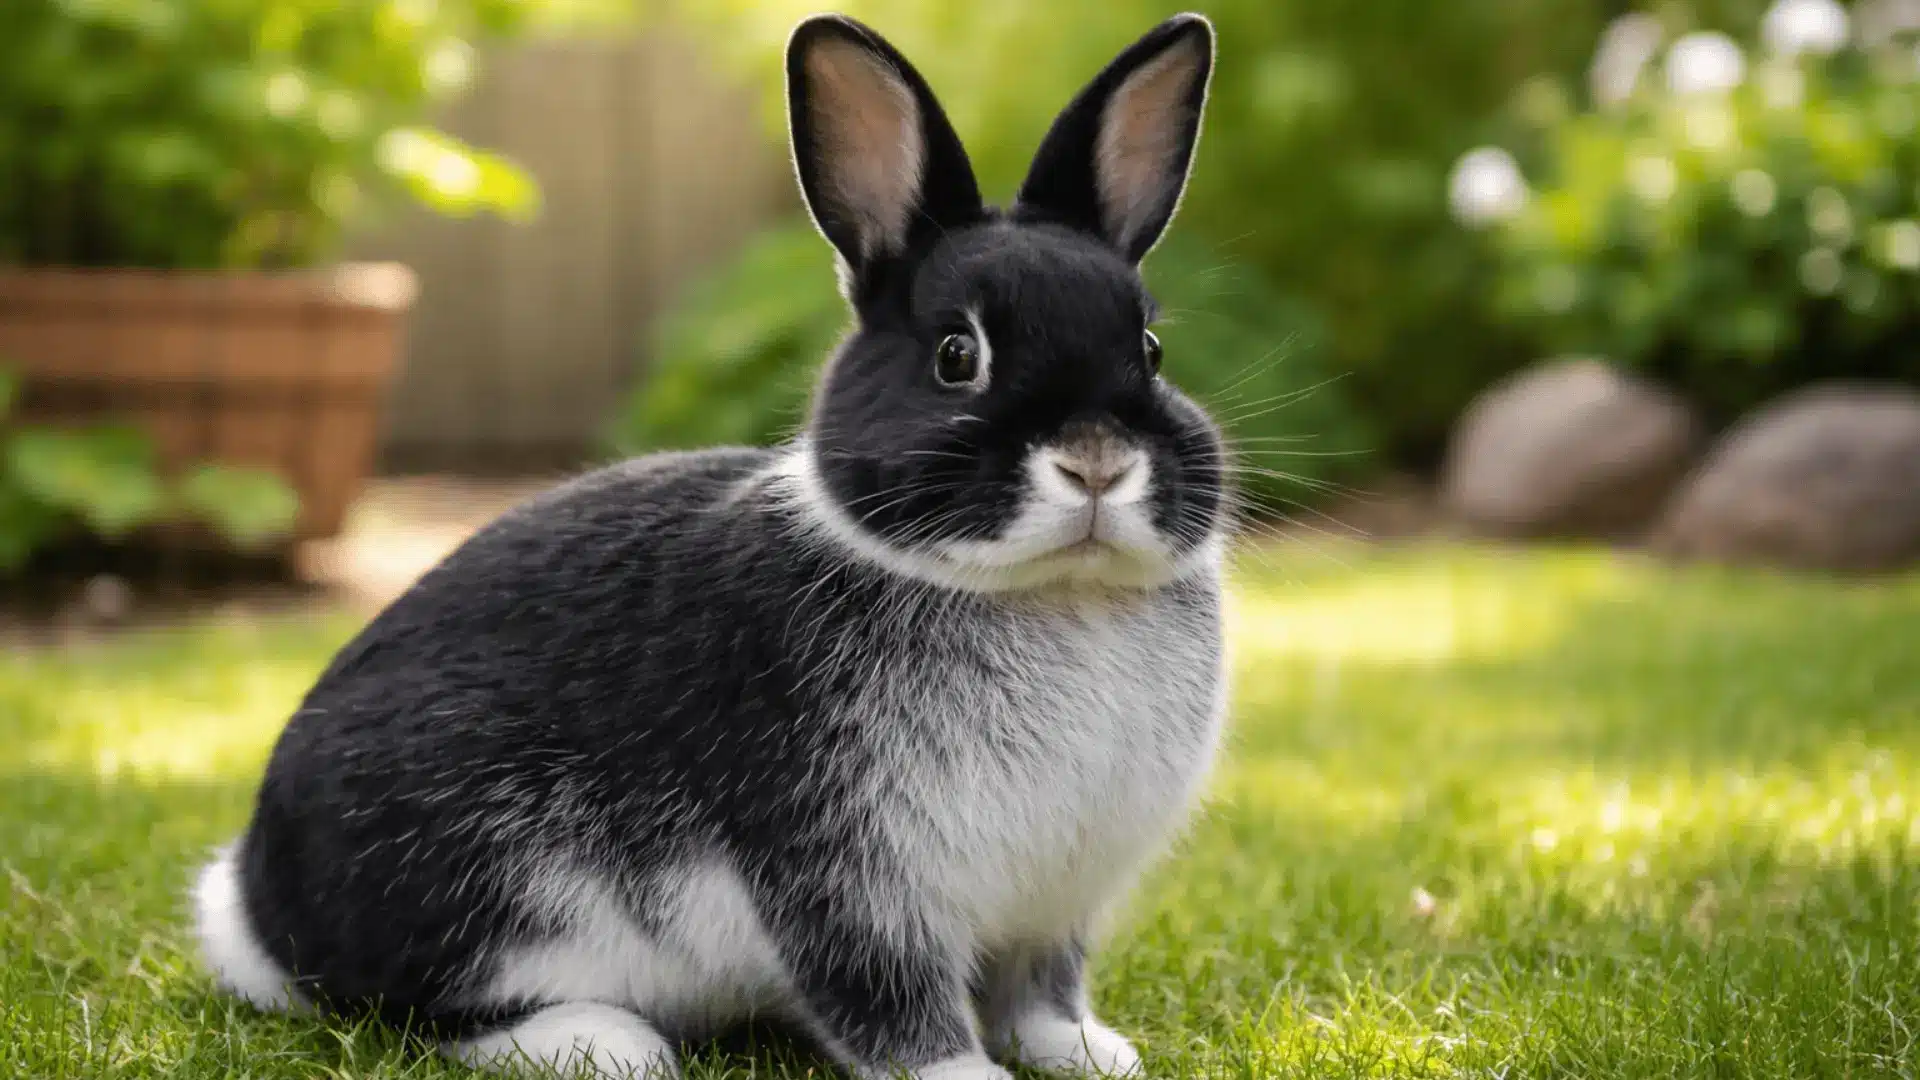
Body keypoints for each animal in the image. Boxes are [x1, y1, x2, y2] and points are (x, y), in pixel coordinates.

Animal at [192, 11, 1228, 1080]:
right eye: (957, 356)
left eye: (1150, 350)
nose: (1097, 464)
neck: (1050, 590)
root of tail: (257, 912)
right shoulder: (842, 879)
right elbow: (892, 1010)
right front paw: (966, 1075)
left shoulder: (1053, 909)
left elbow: (1039, 993)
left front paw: (1089, 1054)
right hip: (483, 874)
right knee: (417, 1012)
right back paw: (603, 1043)